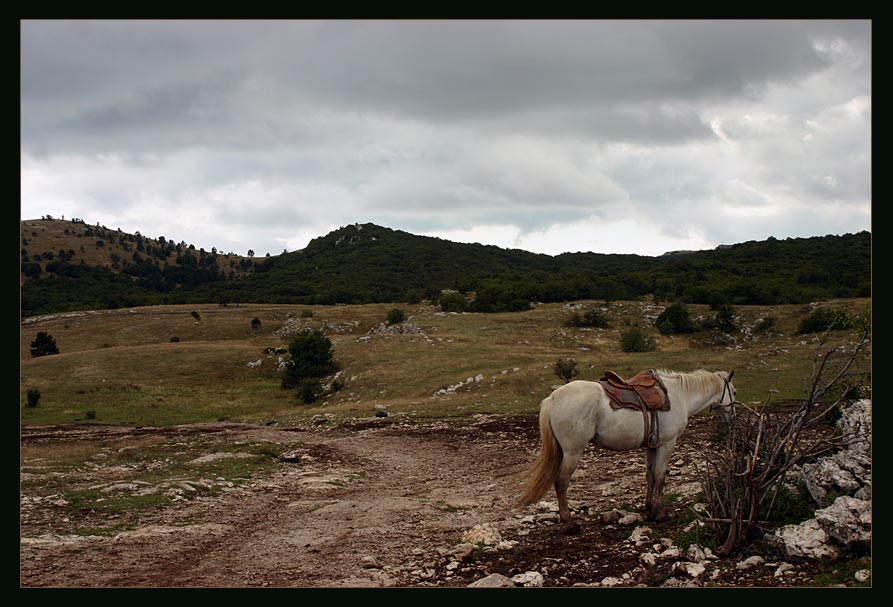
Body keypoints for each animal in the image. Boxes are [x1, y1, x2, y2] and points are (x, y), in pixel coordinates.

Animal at [520, 368, 736, 536]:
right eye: (733, 391)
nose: (732, 418)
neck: (680, 396)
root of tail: (553, 398)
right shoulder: (667, 444)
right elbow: (660, 477)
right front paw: (659, 513)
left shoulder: (652, 445)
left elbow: (650, 475)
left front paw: (649, 509)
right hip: (572, 452)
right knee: (561, 483)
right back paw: (570, 524)